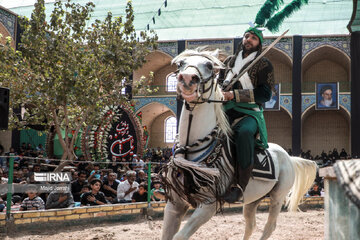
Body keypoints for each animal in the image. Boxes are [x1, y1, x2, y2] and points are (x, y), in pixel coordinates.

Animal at [161, 49, 318, 240]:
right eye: (181, 64)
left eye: (209, 66)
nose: (188, 78)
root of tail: (288, 156)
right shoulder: (174, 204)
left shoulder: (208, 206)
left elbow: (179, 236)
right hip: (253, 199)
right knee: (251, 225)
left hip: (277, 197)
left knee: (269, 226)